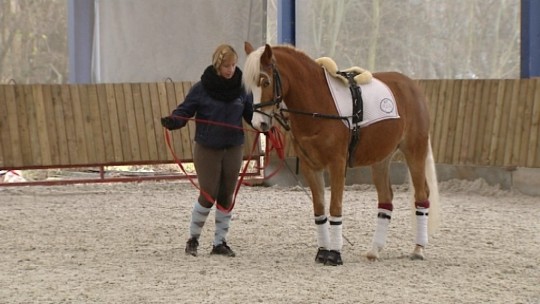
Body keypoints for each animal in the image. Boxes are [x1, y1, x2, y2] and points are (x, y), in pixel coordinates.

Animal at [244, 42, 438, 266]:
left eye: (265, 81)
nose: (259, 123)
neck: (317, 104)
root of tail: (412, 85)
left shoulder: (337, 164)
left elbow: (335, 207)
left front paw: (335, 254)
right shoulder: (311, 167)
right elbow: (319, 209)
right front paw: (322, 252)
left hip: (415, 151)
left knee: (422, 195)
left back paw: (418, 249)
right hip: (381, 159)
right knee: (386, 199)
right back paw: (374, 251)